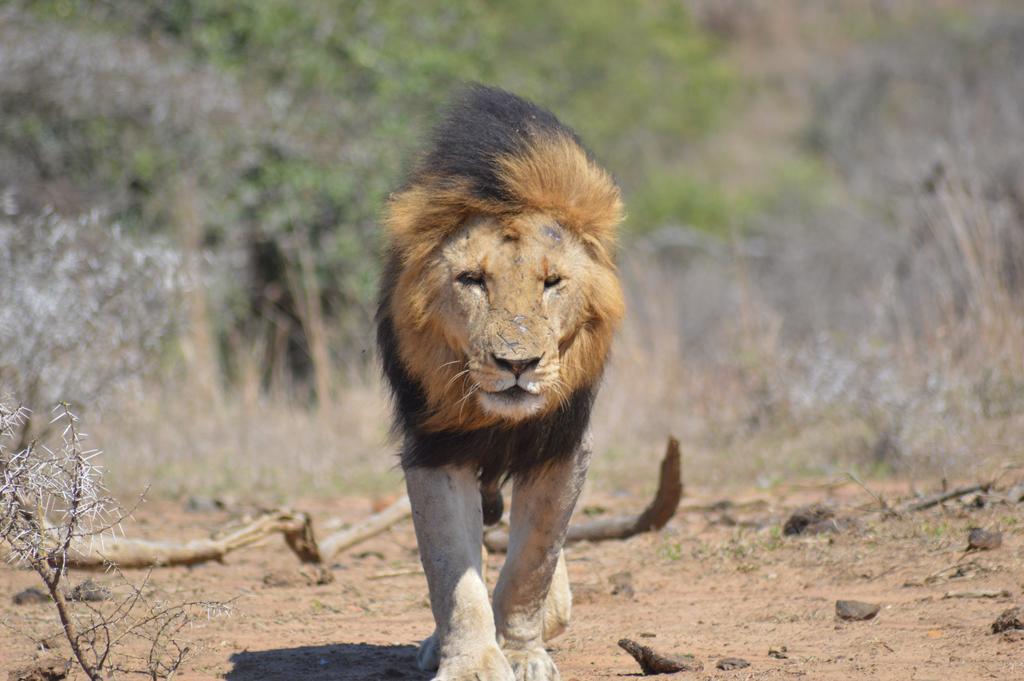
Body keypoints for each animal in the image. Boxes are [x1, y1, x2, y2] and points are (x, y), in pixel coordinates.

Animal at [378, 86, 622, 679]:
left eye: (552, 281)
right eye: (472, 280)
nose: (518, 363)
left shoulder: (563, 448)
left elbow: (532, 563)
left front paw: (521, 652)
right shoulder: (435, 450)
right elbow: (452, 574)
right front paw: (471, 662)